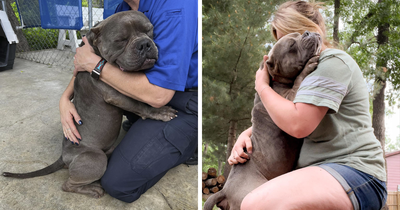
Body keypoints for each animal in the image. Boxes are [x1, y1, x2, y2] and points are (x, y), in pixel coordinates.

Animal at [1, 10, 177, 198]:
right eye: (121, 40)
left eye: (149, 30)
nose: (145, 43)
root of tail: (63, 157)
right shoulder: (116, 95)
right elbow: (139, 105)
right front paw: (160, 113)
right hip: (95, 158)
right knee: (68, 185)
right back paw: (93, 189)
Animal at [205, 31, 320, 210]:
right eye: (291, 46)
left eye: (300, 34)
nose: (308, 32)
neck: (275, 81)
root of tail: (225, 190)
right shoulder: (288, 101)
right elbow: (298, 81)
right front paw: (308, 66)